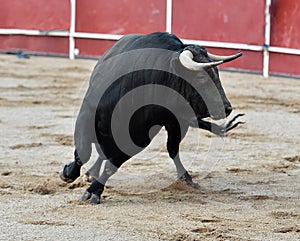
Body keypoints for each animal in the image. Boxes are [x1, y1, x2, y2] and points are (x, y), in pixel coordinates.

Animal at [58, 32, 244, 204]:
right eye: (200, 77)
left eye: (216, 73)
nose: (227, 108)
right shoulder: (86, 115)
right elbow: (83, 152)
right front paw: (68, 173)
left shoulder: (139, 138)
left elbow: (112, 164)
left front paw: (94, 191)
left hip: (176, 122)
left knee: (171, 148)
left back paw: (185, 177)